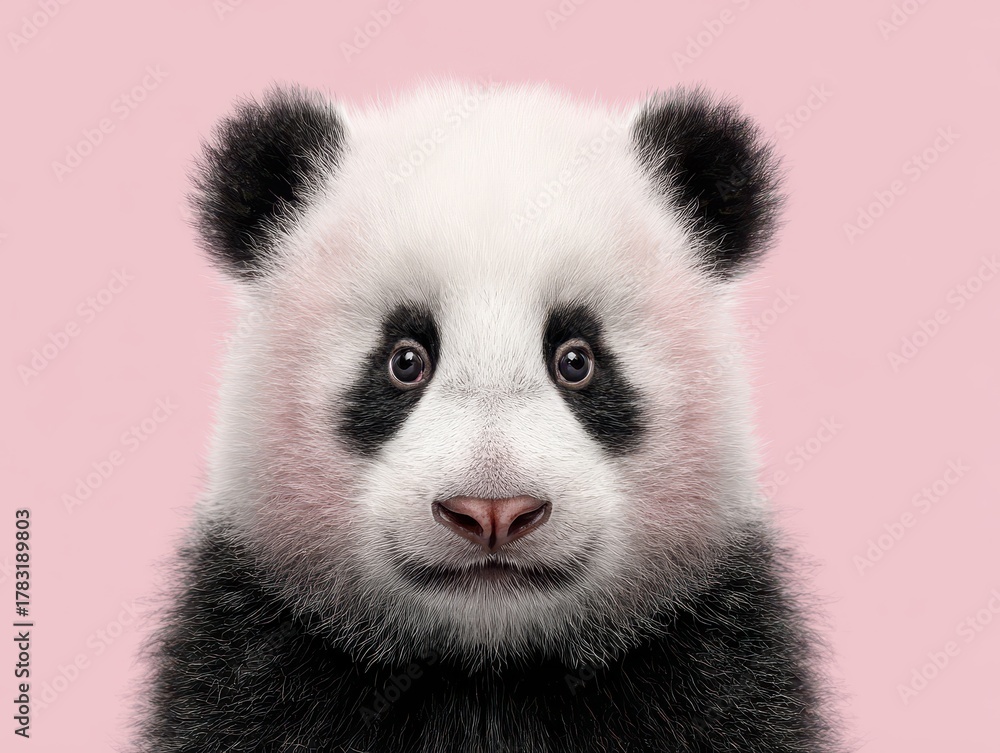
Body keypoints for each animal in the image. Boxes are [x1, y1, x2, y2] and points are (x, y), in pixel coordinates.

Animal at [136, 81, 837, 753]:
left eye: (576, 359)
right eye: (405, 360)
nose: (493, 512)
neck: (489, 673)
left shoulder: (718, 657)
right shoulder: (250, 655)